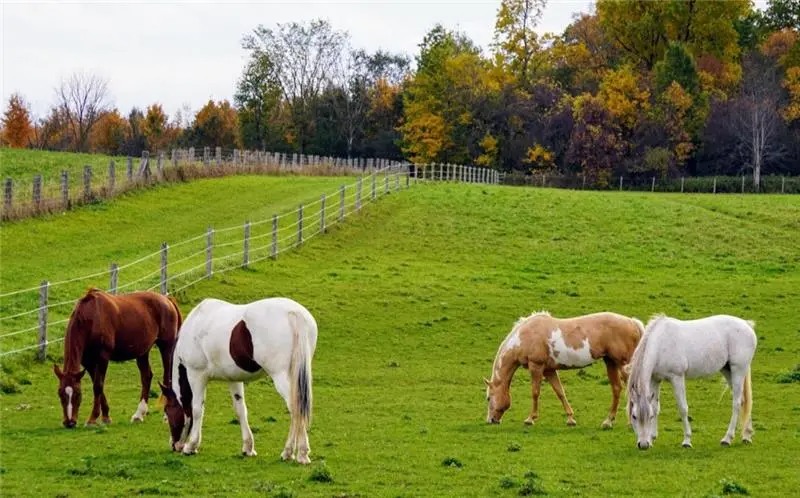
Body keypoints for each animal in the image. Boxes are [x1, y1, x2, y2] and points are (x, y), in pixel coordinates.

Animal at [53, 288, 182, 428]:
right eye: (60, 393)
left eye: (77, 394)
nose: (69, 422)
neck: (92, 317)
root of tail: (167, 300)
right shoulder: (88, 362)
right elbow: (98, 386)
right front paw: (105, 416)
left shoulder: (102, 357)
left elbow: (98, 386)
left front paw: (92, 419)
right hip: (143, 351)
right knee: (146, 377)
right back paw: (139, 414)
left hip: (166, 347)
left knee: (167, 378)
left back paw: (166, 416)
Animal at [159, 297, 317, 463]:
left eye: (167, 412)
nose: (174, 445)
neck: (195, 325)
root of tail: (293, 313)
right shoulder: (233, 379)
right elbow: (240, 410)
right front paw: (248, 447)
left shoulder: (196, 375)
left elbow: (196, 410)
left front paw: (191, 446)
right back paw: (292, 452)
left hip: (280, 376)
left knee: (295, 408)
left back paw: (297, 453)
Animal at [485, 311, 643, 428]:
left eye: (488, 398)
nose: (491, 420)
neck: (524, 336)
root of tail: (633, 322)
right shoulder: (549, 370)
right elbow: (560, 392)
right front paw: (570, 419)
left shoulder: (536, 366)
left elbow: (535, 392)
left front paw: (530, 419)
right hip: (610, 362)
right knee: (616, 388)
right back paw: (608, 421)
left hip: (622, 364)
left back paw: (630, 422)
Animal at [626, 314, 756, 450]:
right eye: (634, 416)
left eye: (649, 417)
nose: (643, 445)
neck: (661, 343)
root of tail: (746, 324)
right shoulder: (655, 379)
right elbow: (656, 407)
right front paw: (652, 438)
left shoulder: (677, 378)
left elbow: (683, 408)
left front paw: (687, 440)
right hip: (727, 371)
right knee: (744, 400)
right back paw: (747, 436)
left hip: (738, 370)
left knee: (736, 403)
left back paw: (727, 439)